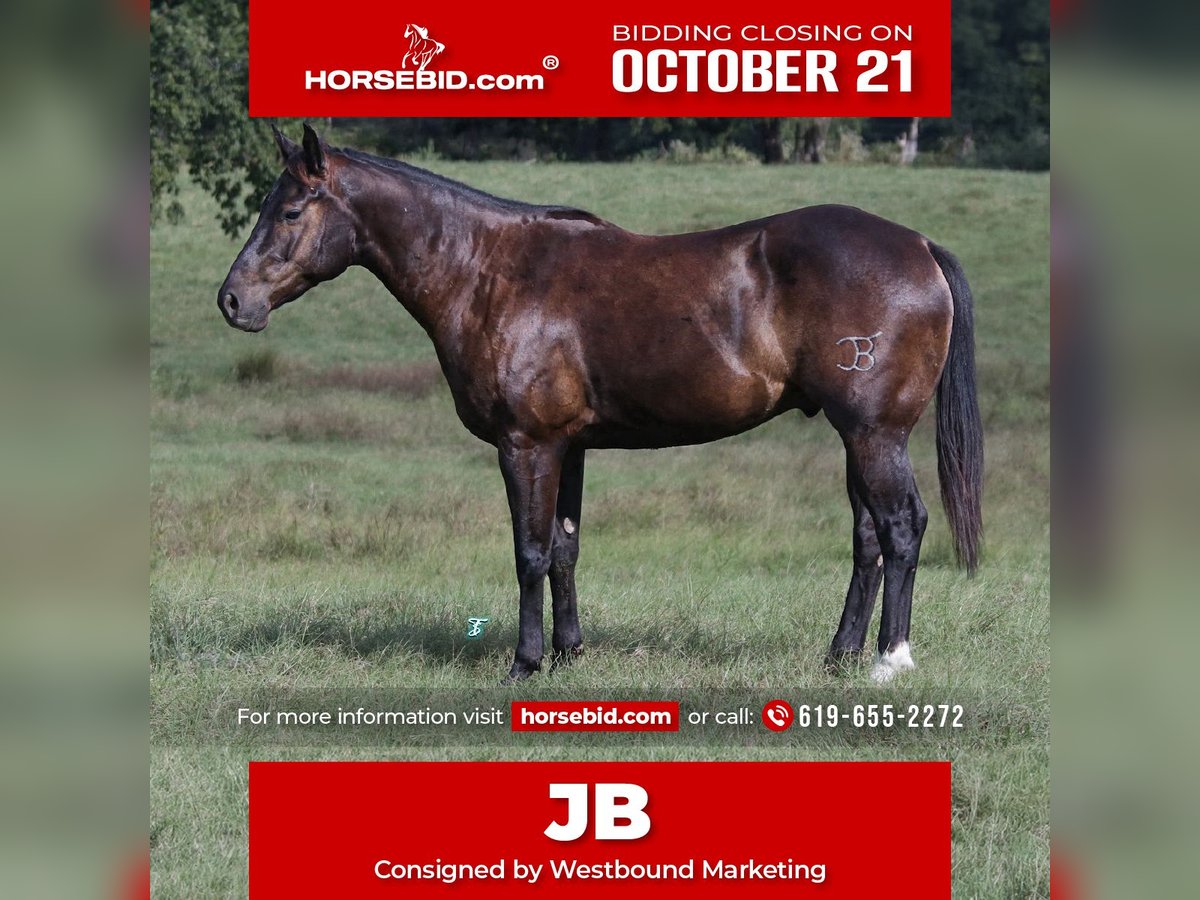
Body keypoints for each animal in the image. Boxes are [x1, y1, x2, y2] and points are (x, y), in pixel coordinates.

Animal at [218, 127, 984, 686]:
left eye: (290, 211)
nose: (233, 301)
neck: (491, 272)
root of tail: (919, 247)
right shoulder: (571, 445)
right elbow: (565, 548)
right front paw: (569, 653)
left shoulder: (527, 444)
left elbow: (529, 552)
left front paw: (525, 664)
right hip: (858, 437)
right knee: (868, 538)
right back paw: (840, 656)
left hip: (875, 433)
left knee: (902, 527)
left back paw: (890, 660)